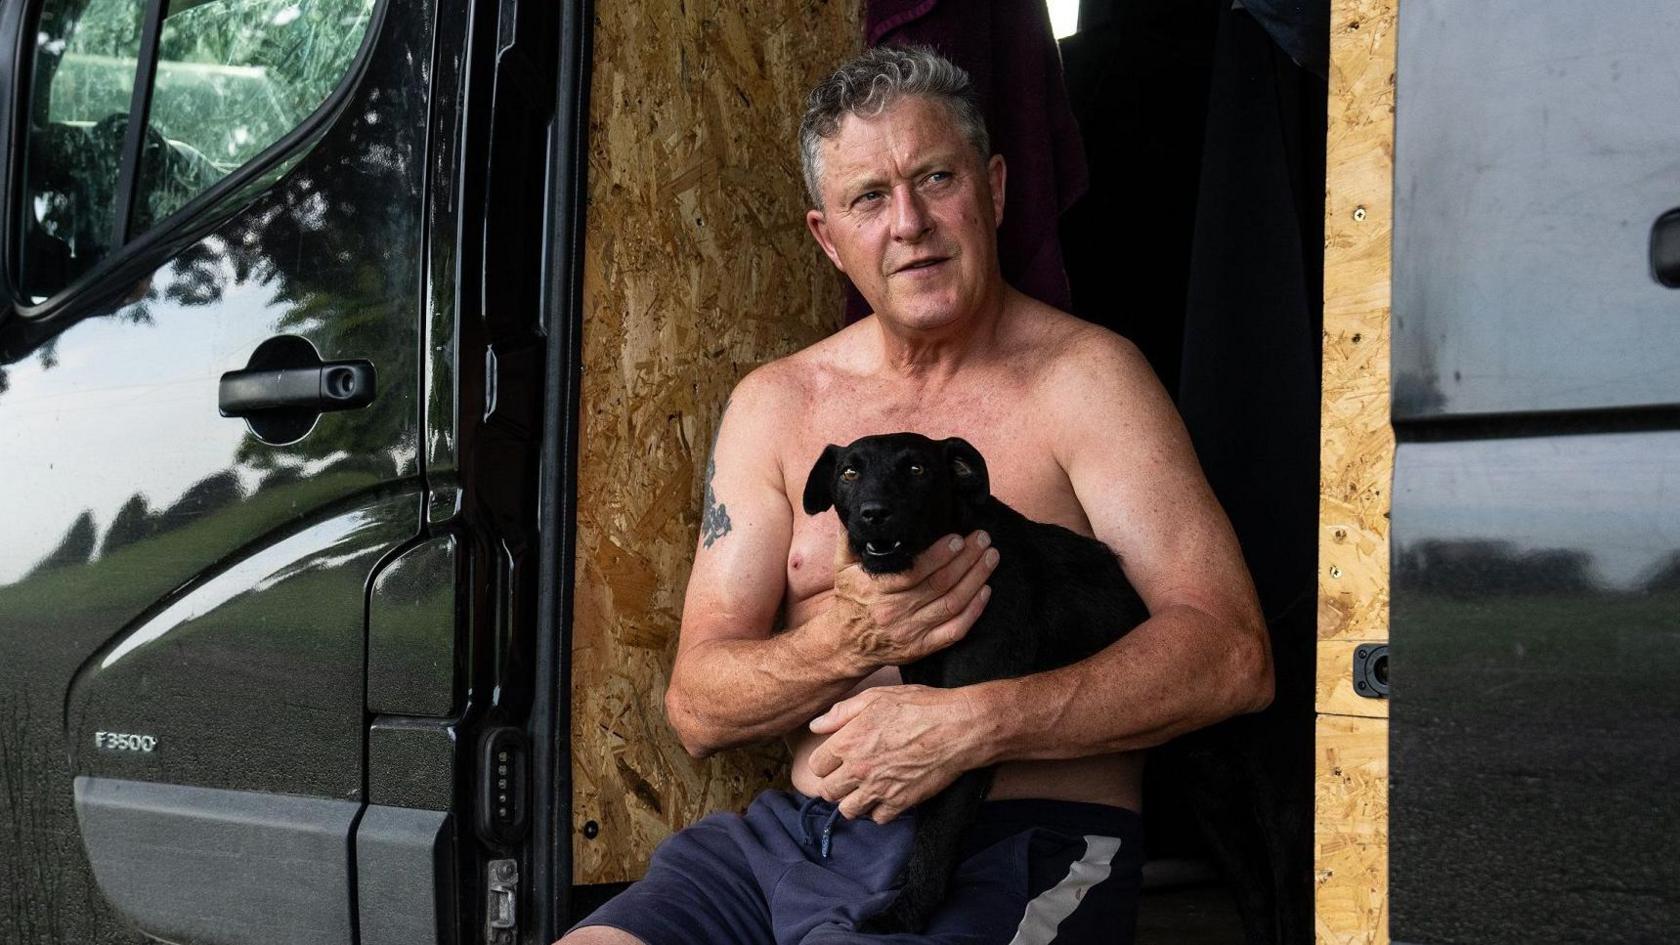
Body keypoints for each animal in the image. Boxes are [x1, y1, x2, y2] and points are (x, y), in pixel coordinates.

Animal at [803, 430, 1155, 928]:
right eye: (849, 472)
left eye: (917, 470)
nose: (873, 513)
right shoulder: (921, 723)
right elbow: (924, 821)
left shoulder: (960, 734)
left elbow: (936, 837)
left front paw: (906, 915)